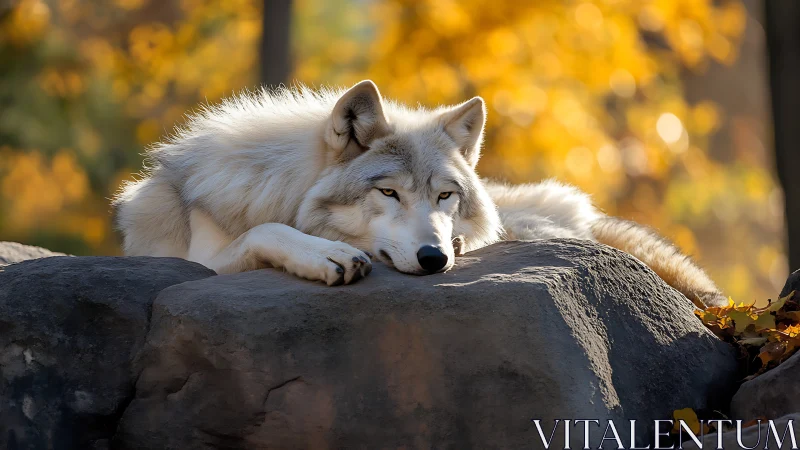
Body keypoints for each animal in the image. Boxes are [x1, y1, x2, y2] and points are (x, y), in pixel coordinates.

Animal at [113, 80, 726, 307]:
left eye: (445, 197)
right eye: (388, 192)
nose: (434, 257)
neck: (280, 183)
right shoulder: (193, 258)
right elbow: (265, 230)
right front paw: (327, 255)